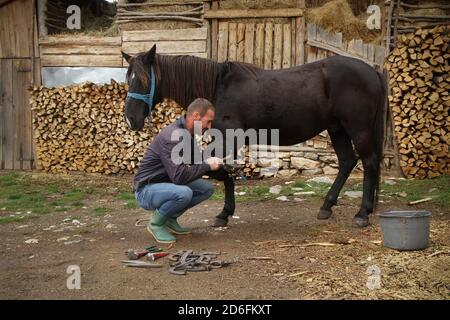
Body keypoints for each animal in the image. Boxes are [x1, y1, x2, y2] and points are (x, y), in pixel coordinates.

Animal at [122, 45, 386, 228]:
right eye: (129, 79)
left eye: (144, 80)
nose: (131, 119)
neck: (218, 87)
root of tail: (372, 71)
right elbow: (221, 172)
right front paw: (225, 211)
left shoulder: (228, 139)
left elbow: (222, 173)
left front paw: (224, 213)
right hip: (336, 128)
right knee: (347, 162)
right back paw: (327, 206)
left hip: (358, 129)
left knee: (369, 163)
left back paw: (362, 214)